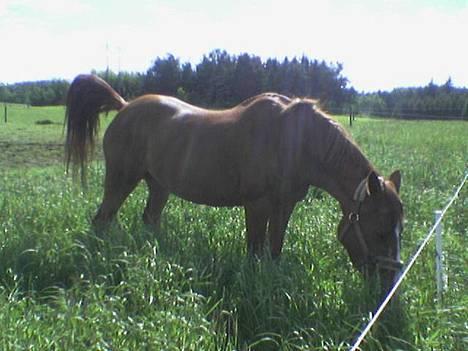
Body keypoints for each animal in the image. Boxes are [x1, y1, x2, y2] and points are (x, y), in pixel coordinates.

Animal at [64, 74, 404, 294]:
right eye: (379, 231)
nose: (388, 286)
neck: (297, 142)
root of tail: (124, 106)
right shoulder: (257, 205)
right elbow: (254, 250)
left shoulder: (284, 206)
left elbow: (274, 249)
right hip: (121, 179)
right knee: (103, 219)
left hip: (159, 185)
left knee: (150, 218)